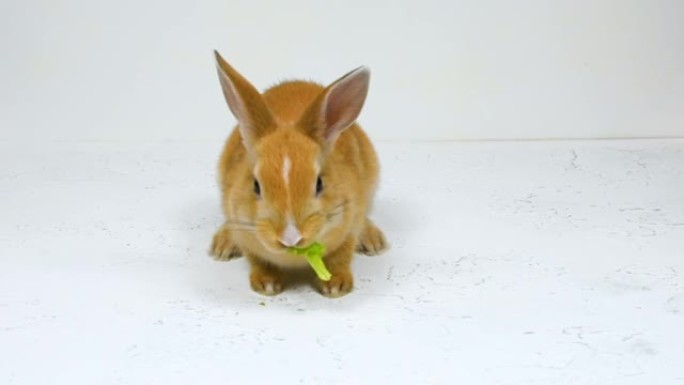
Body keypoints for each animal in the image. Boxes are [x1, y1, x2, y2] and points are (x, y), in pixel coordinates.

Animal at [211, 51, 388, 296]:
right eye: (256, 185)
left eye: (319, 183)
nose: (290, 237)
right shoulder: (246, 234)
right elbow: (258, 261)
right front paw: (267, 285)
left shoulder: (350, 225)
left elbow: (340, 257)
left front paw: (336, 286)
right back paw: (222, 246)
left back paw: (374, 242)